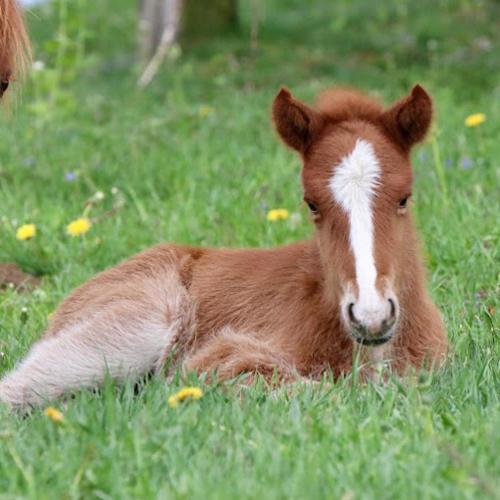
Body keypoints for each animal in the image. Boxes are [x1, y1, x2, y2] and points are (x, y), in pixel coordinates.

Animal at [0, 84, 446, 408]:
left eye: (404, 198)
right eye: (312, 204)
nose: (371, 316)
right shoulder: (217, 355)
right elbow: (318, 389)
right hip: (133, 327)